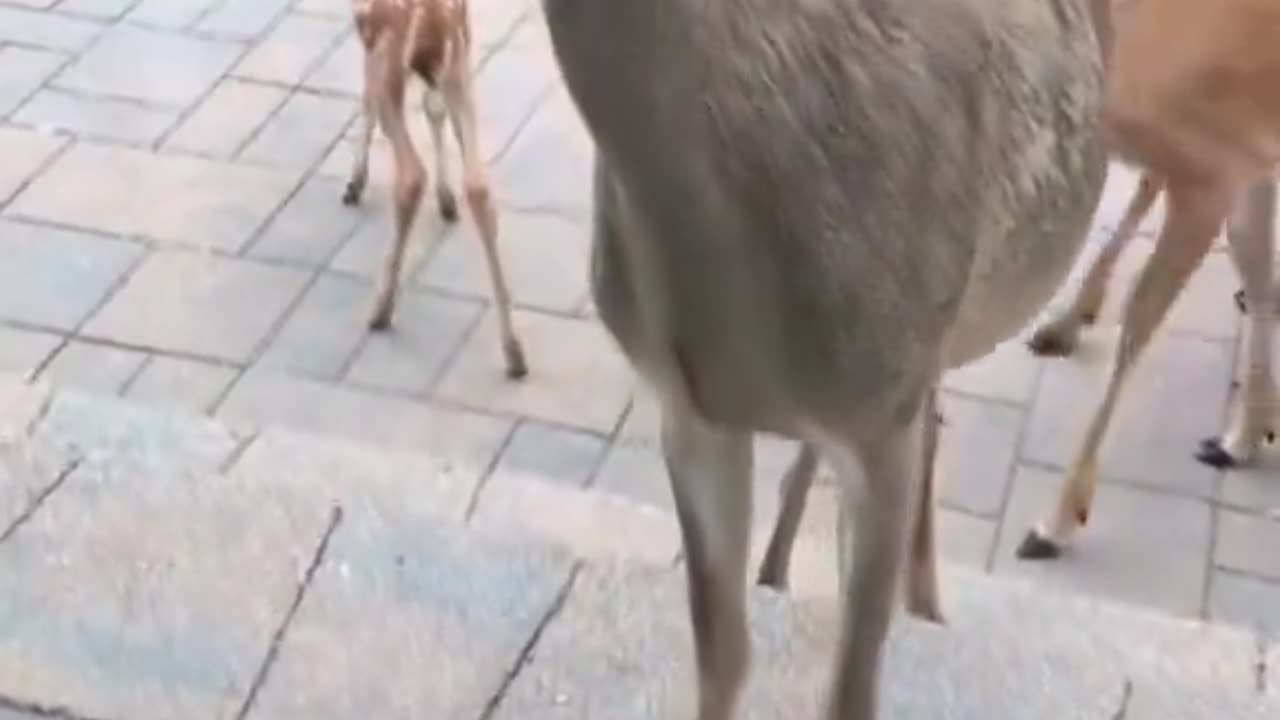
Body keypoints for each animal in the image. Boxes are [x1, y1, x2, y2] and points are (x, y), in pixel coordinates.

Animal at [343, 0, 527, 379]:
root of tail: (431, 18)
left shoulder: (369, 39)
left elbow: (366, 96)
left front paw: (355, 181)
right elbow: (434, 108)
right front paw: (446, 200)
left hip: (393, 58)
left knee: (412, 175)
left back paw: (381, 309)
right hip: (460, 61)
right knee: (478, 184)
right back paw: (514, 352)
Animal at [1013, 0, 1280, 558]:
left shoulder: (1217, 167)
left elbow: (1137, 326)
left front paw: (1054, 523)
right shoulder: (1240, 154)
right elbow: (1257, 261)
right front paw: (1245, 436)